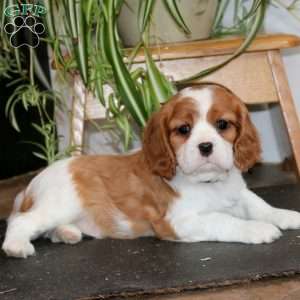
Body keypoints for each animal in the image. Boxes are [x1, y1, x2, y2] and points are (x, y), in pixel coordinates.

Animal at [2, 84, 300, 258]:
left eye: (223, 124)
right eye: (183, 129)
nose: (205, 146)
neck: (209, 182)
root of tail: (30, 186)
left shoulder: (237, 194)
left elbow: (260, 205)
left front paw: (286, 216)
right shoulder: (178, 221)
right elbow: (225, 220)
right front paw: (258, 229)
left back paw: (67, 234)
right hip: (59, 204)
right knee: (22, 222)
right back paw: (17, 246)